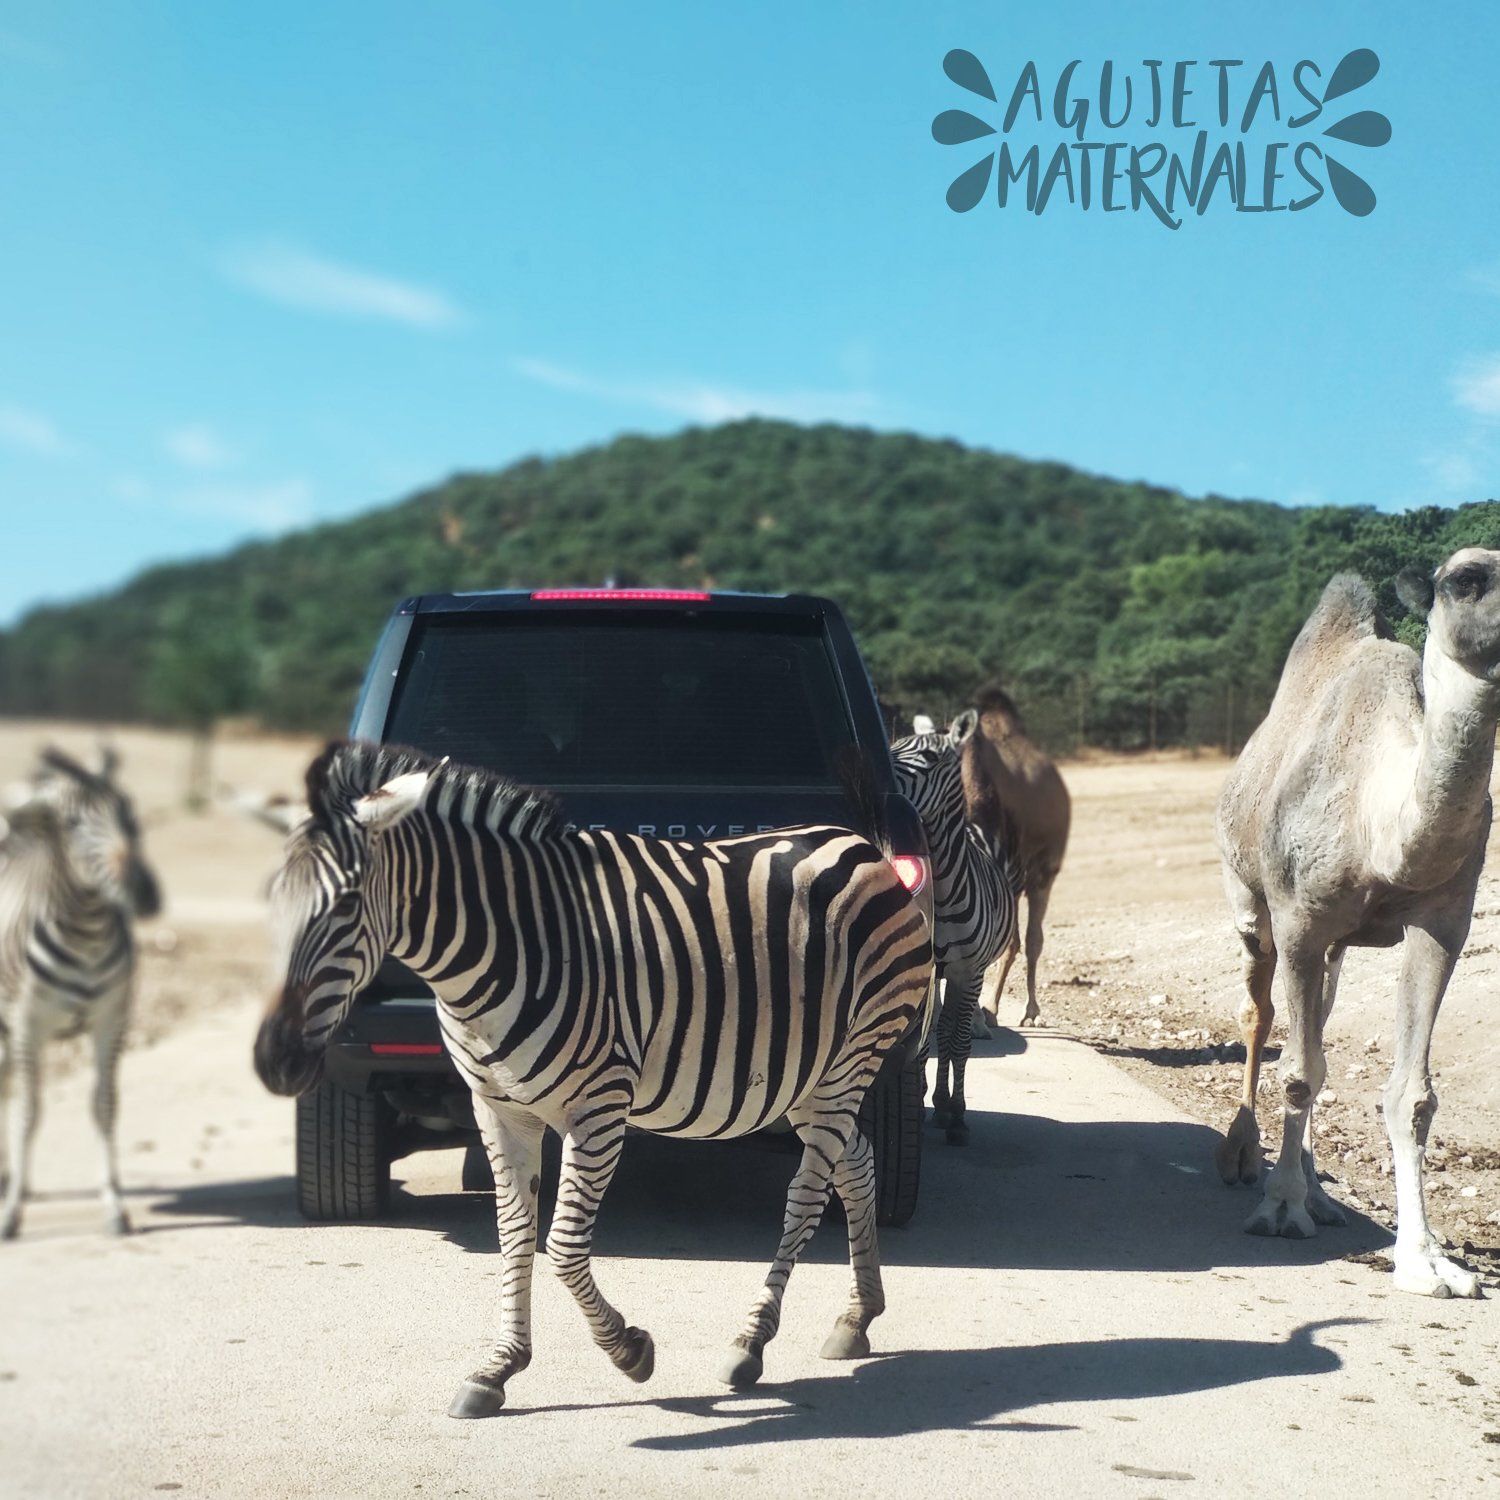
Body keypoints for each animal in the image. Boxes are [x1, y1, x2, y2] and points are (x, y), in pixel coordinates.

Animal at [1214, 552, 1500, 1299]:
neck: (1381, 826)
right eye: (1466, 579)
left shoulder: (1443, 923)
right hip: (1249, 901)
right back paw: (1243, 1158)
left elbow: (1411, 1096)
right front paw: (1280, 1210)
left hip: (1335, 947)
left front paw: (1427, 1260)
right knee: (1259, 1014)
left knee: (1319, 1017)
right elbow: (1297, 1072)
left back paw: (1318, 1191)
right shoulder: (1299, 918)